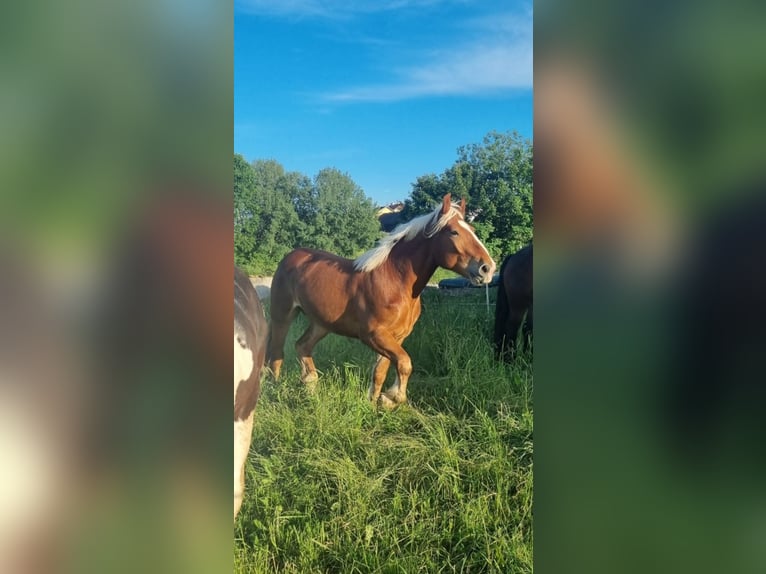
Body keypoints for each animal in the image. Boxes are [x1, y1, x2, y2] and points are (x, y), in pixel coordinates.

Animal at [268, 194, 498, 410]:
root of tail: (291, 256)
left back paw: (309, 384)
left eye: (472, 228)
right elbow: (405, 363)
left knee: (302, 346)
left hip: (321, 323)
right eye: (453, 232)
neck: (395, 282)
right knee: (276, 354)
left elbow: (381, 371)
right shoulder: (374, 335)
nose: (487, 268)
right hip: (282, 315)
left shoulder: (396, 337)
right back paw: (275, 393)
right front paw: (393, 398)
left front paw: (374, 403)